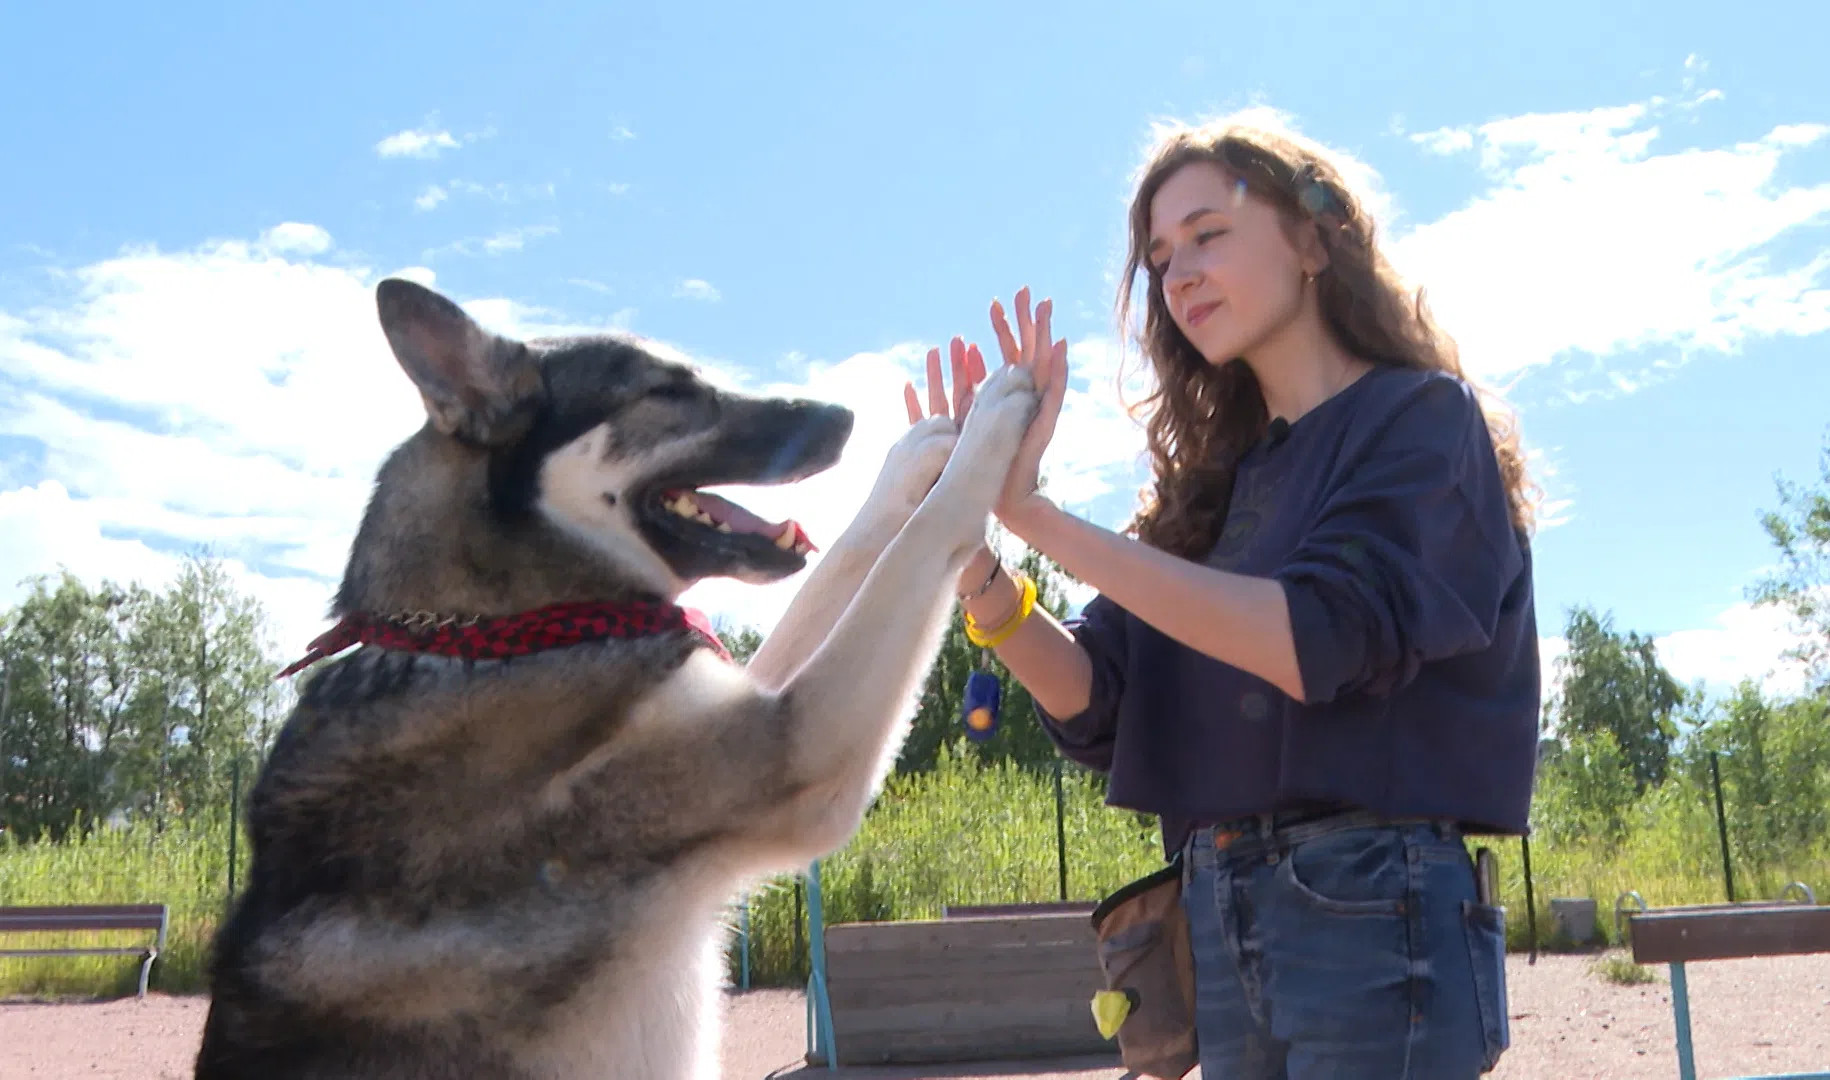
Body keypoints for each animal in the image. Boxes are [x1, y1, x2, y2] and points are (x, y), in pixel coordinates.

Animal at [196, 281, 1046, 1080]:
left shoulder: (737, 689)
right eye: (666, 392)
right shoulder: (797, 745)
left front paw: (923, 449)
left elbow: (857, 553)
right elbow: (923, 536)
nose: (838, 414)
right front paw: (988, 420)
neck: (494, 634)